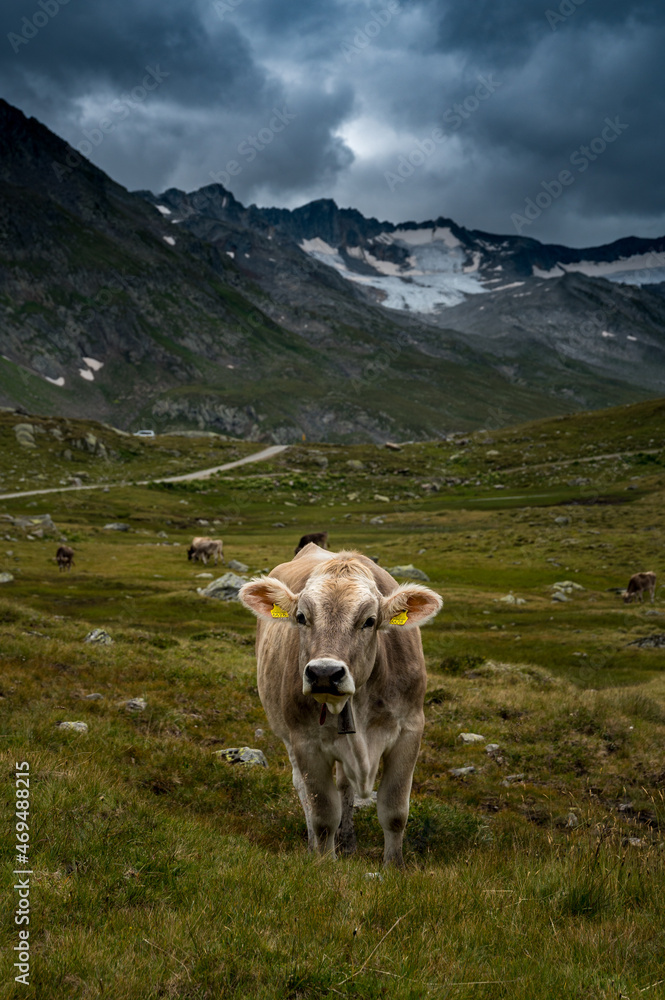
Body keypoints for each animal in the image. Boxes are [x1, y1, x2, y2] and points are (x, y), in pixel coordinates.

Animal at [239, 544, 440, 864]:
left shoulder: (410, 730)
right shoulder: (305, 741)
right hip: (287, 735)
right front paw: (324, 863)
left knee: (345, 786)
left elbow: (394, 811)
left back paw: (347, 842)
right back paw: (316, 846)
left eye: (369, 621)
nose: (324, 673)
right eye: (301, 617)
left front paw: (393, 866)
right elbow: (323, 815)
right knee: (303, 790)